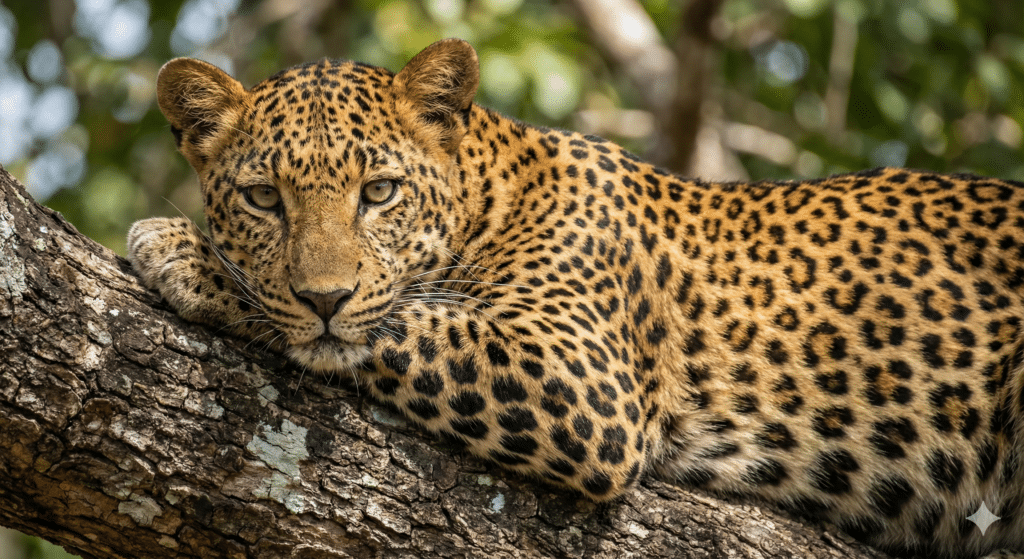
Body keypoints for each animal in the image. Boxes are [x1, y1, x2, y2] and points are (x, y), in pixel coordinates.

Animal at [127, 38, 1024, 558]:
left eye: (379, 192)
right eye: (264, 199)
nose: (323, 296)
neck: (491, 194)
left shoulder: (583, 380)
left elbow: (408, 318)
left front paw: (184, 253)